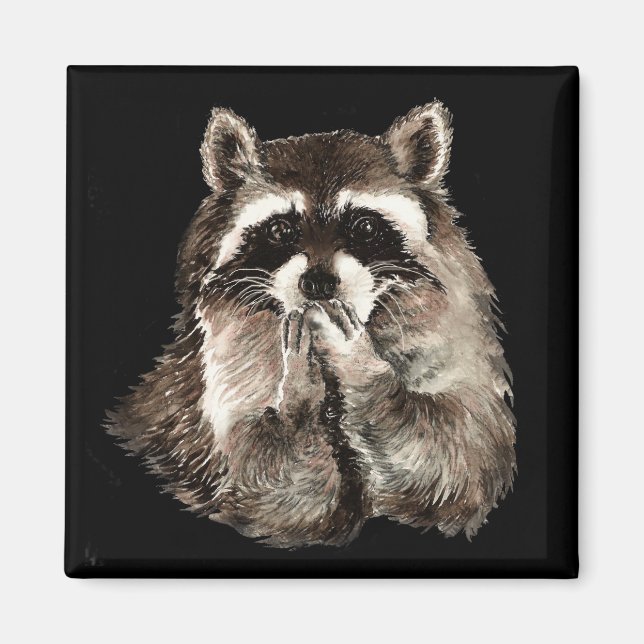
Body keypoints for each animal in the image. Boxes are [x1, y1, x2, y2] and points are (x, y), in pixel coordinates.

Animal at [107, 102, 516, 548]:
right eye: (280, 228)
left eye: (365, 226)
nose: (318, 284)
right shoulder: (218, 375)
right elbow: (271, 490)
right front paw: (299, 397)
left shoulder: (447, 334)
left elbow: (453, 460)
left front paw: (359, 364)